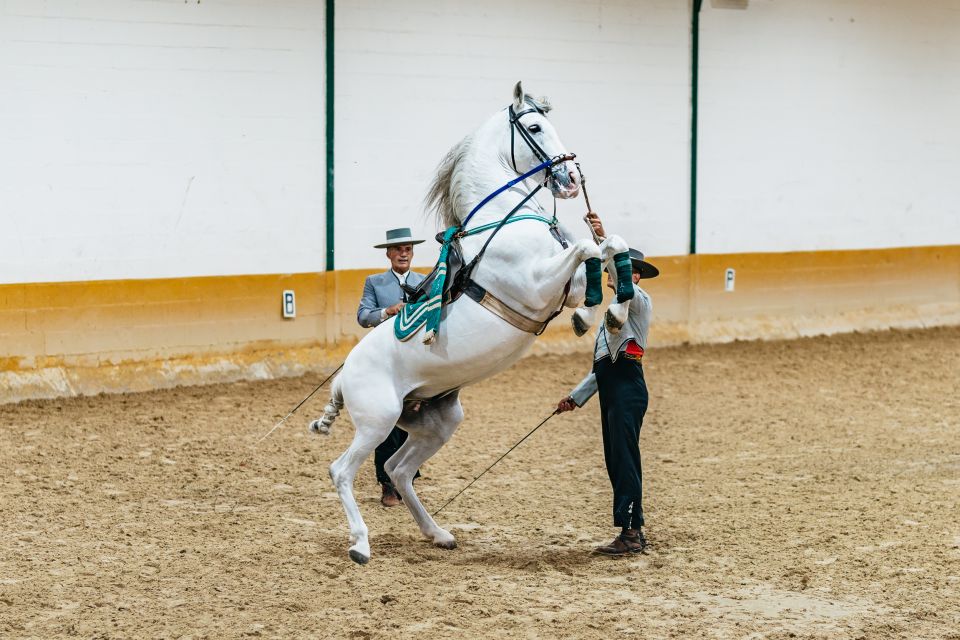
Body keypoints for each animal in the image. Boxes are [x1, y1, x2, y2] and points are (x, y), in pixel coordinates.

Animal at [312, 81, 632, 564]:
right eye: (534, 127)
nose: (571, 179)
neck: (503, 219)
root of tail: (343, 376)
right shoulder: (535, 286)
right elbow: (588, 250)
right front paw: (596, 312)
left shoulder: (561, 283)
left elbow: (608, 247)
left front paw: (606, 311)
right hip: (377, 421)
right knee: (342, 471)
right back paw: (361, 545)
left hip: (435, 422)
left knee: (398, 469)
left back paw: (438, 534)